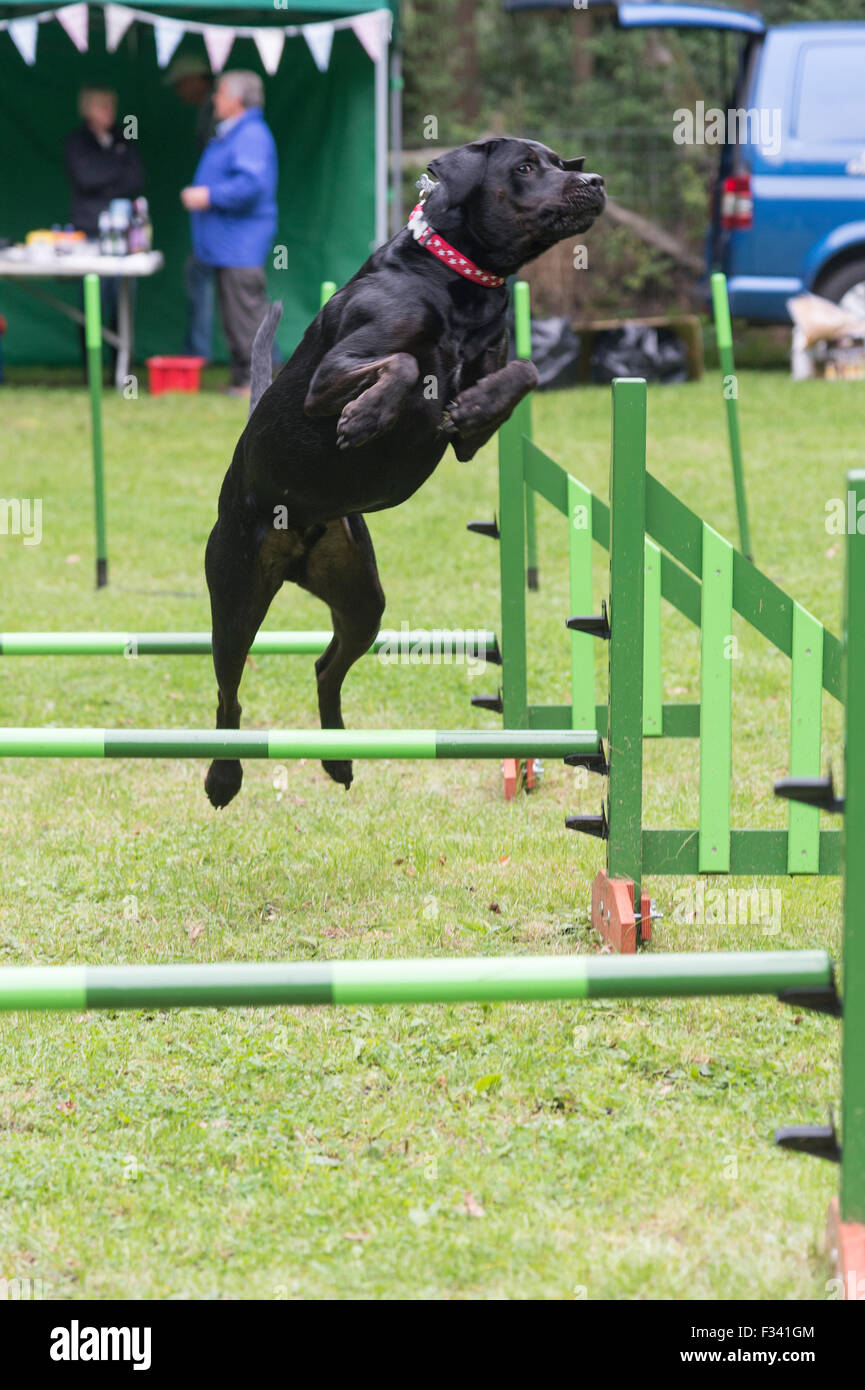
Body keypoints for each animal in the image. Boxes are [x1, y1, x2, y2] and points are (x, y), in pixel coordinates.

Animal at [205, 135, 606, 811]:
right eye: (525, 167)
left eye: (560, 162)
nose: (596, 181)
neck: (457, 283)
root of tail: (296, 537)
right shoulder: (330, 377)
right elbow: (401, 365)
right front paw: (367, 416)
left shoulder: (473, 430)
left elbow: (521, 372)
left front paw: (473, 403)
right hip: (236, 594)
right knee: (228, 694)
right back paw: (223, 778)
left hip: (361, 598)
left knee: (326, 667)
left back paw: (338, 761)